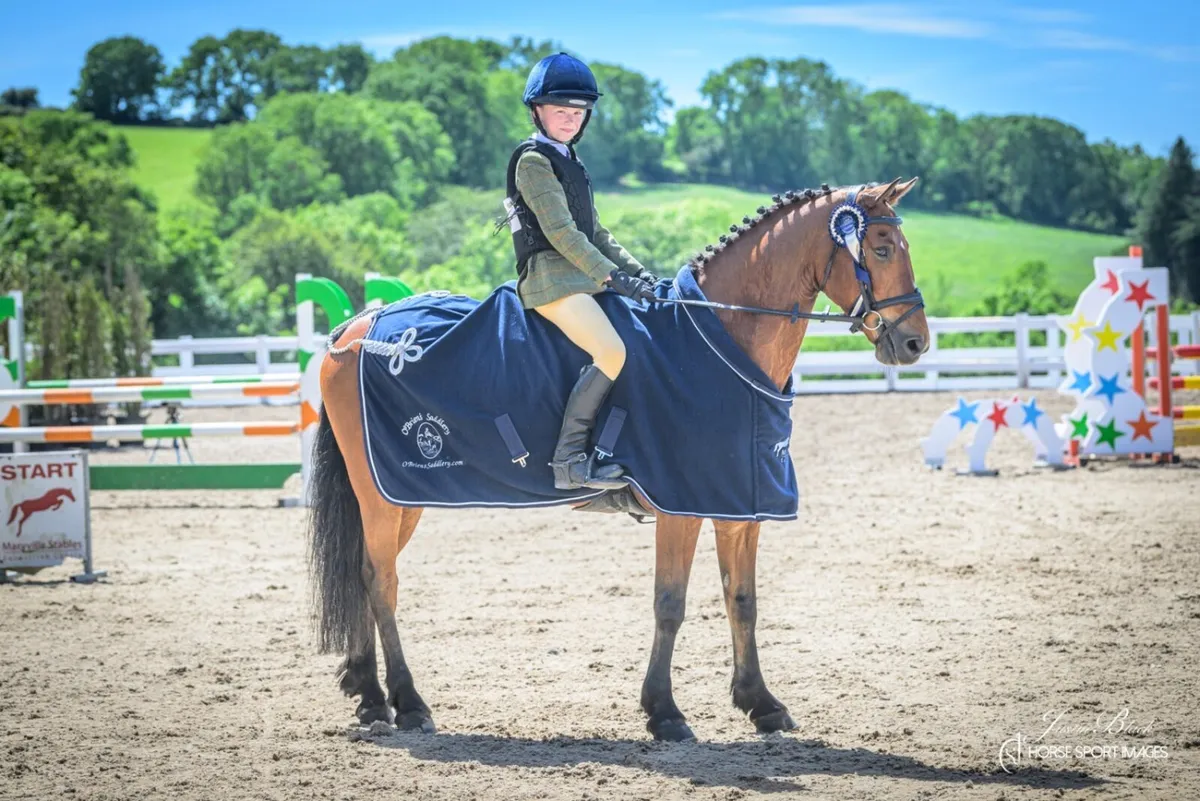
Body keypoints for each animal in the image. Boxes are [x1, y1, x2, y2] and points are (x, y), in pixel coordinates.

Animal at [308, 178, 929, 741]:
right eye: (880, 249)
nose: (916, 343)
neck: (721, 336)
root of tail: (358, 327)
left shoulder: (739, 503)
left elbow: (743, 600)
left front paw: (762, 704)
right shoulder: (682, 505)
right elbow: (670, 604)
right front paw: (665, 713)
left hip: (397, 498)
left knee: (365, 575)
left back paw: (368, 695)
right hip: (384, 495)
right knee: (381, 581)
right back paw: (408, 704)